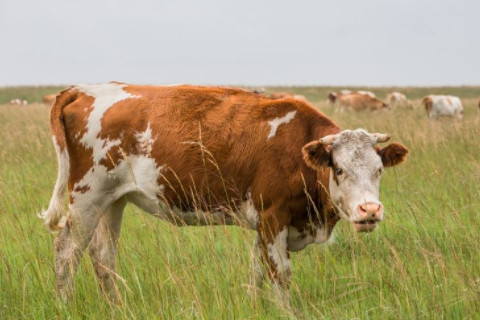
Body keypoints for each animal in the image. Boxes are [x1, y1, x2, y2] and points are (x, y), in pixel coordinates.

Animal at [38, 82, 408, 302]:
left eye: (378, 170)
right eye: (340, 169)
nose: (369, 210)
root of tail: (84, 89)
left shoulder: (263, 225)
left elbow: (257, 273)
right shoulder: (273, 217)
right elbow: (280, 276)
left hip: (113, 200)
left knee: (103, 256)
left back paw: (115, 305)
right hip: (87, 197)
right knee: (67, 253)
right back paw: (65, 304)